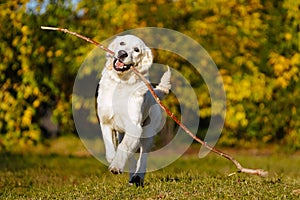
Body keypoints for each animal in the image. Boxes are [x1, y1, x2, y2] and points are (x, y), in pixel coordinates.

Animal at [96, 34, 171, 186]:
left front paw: (116, 166)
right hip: (123, 133)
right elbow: (110, 145)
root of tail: (155, 92)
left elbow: (124, 147)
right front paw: (112, 159)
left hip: (147, 133)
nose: (122, 53)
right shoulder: (105, 121)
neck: (121, 82)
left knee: (143, 156)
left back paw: (138, 177)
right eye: (122, 43)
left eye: (136, 50)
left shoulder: (135, 126)